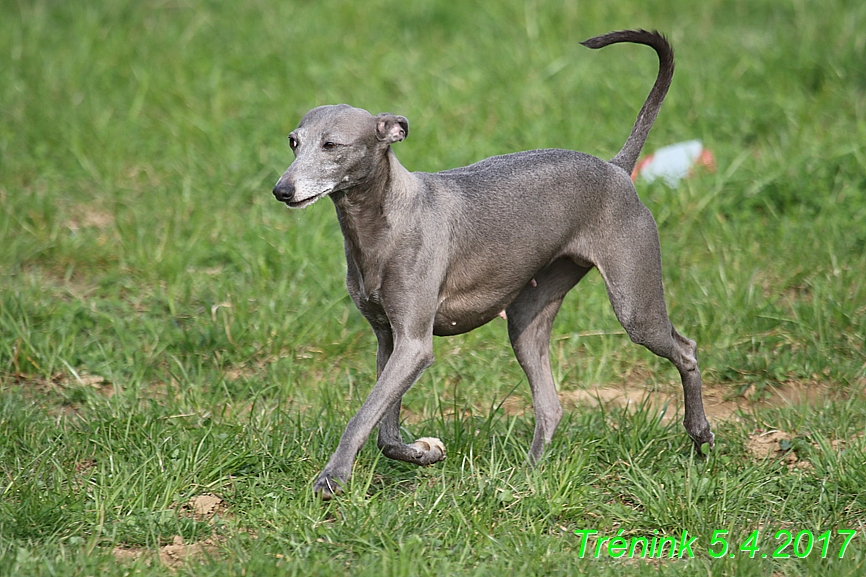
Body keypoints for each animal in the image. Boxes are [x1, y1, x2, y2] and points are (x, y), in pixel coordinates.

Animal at [274, 29, 712, 498]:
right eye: (293, 142)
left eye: (332, 145)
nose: (282, 190)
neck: (383, 222)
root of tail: (615, 169)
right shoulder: (388, 339)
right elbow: (385, 432)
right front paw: (424, 452)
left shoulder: (414, 345)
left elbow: (363, 417)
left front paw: (332, 477)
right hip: (527, 319)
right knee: (551, 406)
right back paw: (528, 479)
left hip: (635, 306)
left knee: (685, 349)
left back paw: (700, 432)